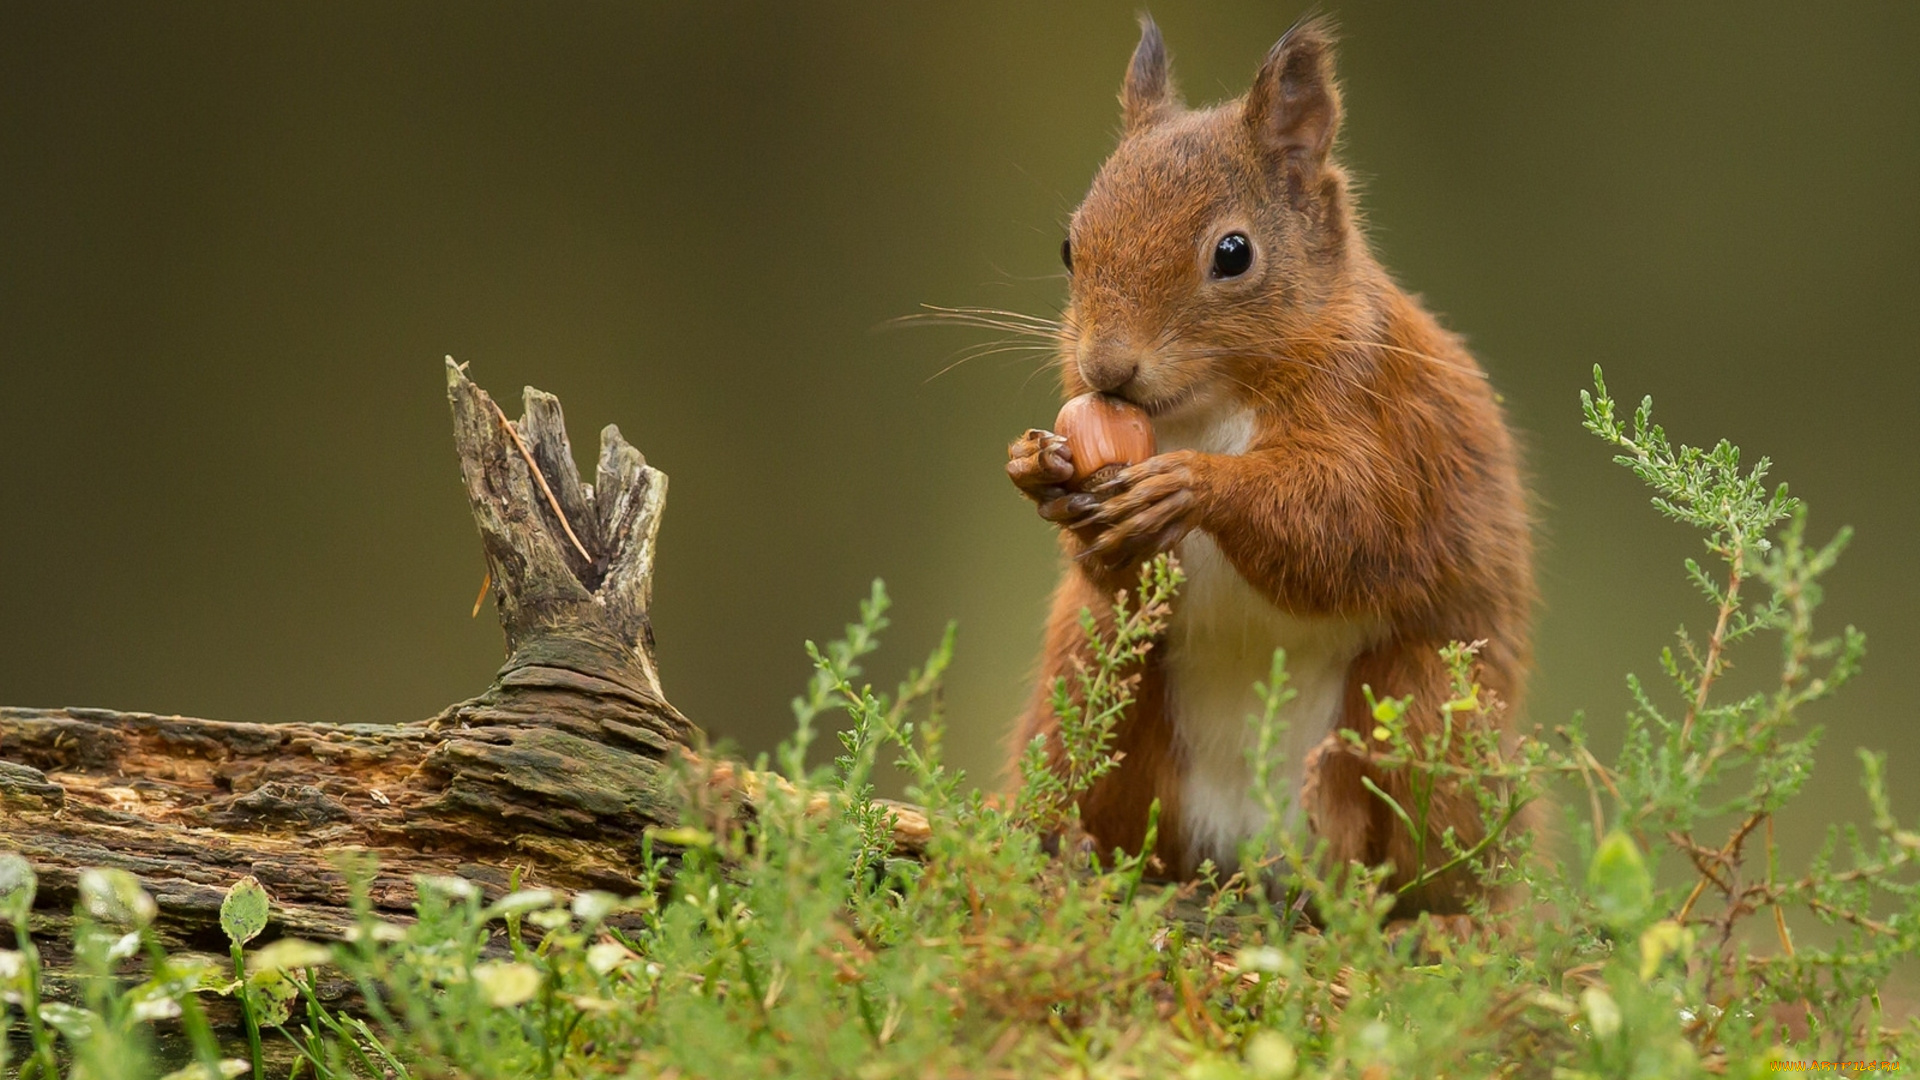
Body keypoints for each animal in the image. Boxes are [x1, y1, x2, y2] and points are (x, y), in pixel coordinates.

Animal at [1006, 16, 1528, 907]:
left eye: (1233, 252)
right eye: (1071, 245)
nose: (1106, 368)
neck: (1206, 406)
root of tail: (1248, 848)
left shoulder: (1393, 430)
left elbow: (1347, 526)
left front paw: (1193, 487)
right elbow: (1115, 572)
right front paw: (1043, 475)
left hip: (1429, 708)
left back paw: (1441, 912)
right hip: (1086, 676)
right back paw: (1070, 847)